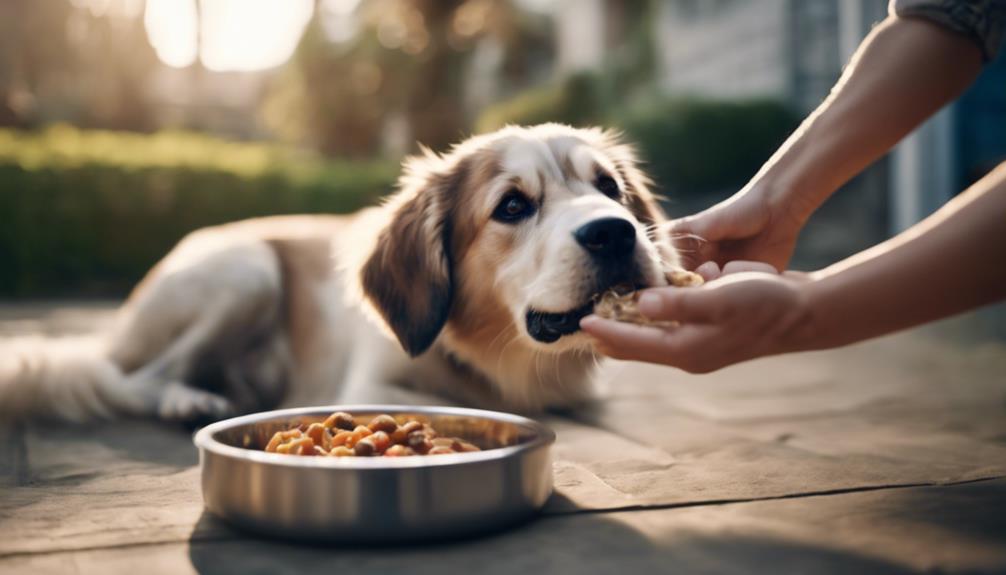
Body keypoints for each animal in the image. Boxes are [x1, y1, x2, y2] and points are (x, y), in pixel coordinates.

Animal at [0, 124, 684, 422]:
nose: (615, 232)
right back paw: (188, 399)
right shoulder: (368, 388)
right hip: (247, 270)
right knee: (133, 378)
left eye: (609, 188)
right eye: (512, 206)